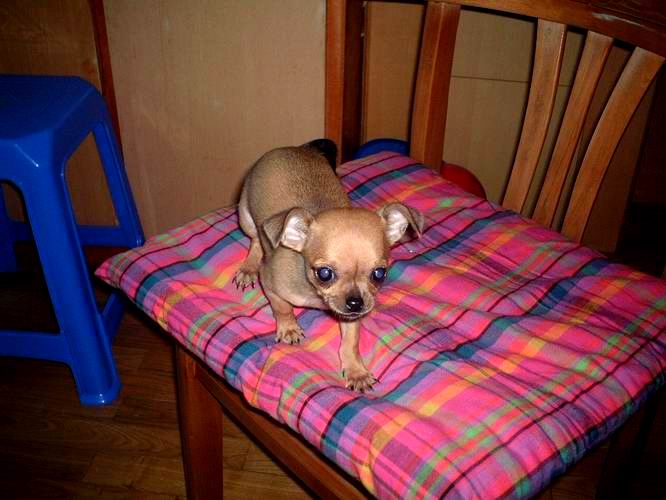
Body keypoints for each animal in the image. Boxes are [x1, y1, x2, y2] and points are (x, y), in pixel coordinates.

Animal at [234, 139, 423, 391]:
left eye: (379, 273)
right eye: (324, 273)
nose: (355, 303)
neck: (316, 295)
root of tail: (296, 148)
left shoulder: (350, 317)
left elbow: (351, 341)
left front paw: (356, 371)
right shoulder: (272, 286)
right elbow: (282, 308)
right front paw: (289, 328)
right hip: (245, 217)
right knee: (255, 239)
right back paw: (248, 267)